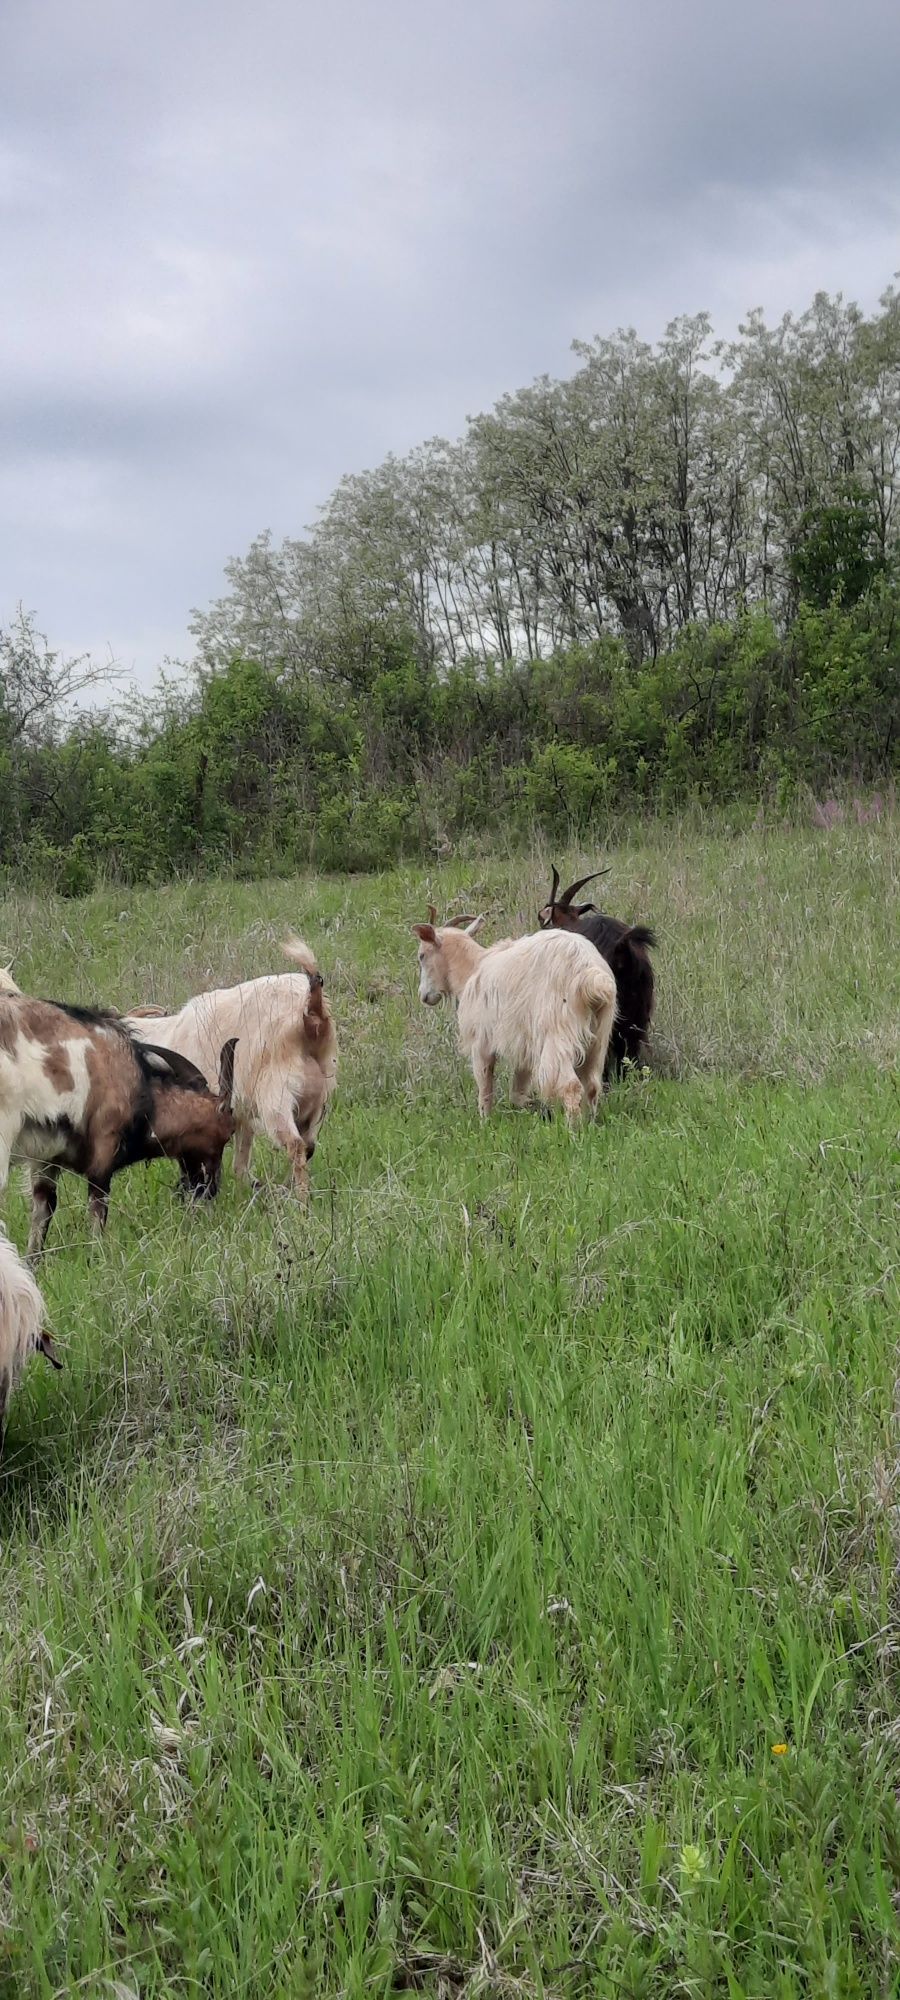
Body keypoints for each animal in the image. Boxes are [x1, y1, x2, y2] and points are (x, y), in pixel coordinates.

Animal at [0, 980, 237, 1256]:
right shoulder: (105, 1145)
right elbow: (97, 1213)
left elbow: (41, 1217)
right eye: (227, 1133)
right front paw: (98, 1258)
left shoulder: (45, 1160)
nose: (210, 1189)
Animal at [125, 940, 338, 1200]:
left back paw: (300, 1202)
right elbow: (240, 1164)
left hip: (275, 1093)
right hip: (317, 1098)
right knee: (308, 1146)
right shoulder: (239, 1115)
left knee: (295, 1145)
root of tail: (312, 1014)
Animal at [414, 916, 620, 1128]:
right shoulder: (524, 1047)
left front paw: (485, 1124)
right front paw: (531, 1105)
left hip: (557, 1032)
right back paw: (590, 1125)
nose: (424, 995)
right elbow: (517, 1091)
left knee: (571, 1086)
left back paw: (573, 1130)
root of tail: (591, 976)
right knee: (592, 1085)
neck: (471, 969)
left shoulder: (481, 1042)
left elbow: (484, 1087)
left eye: (421, 955)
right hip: (599, 1037)